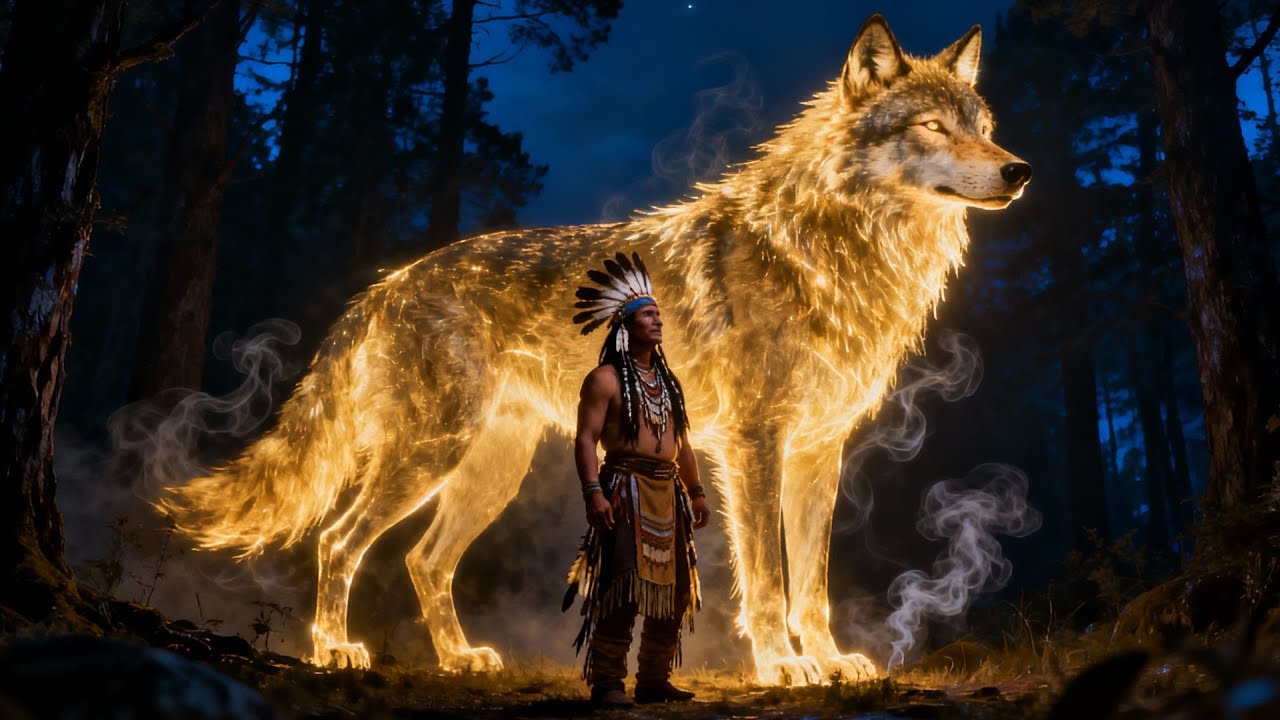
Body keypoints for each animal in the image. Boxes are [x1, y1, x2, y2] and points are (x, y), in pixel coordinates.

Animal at [162, 15, 1030, 685]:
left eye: (982, 127)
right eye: (933, 127)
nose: (1019, 170)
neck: (838, 249)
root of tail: (387, 281)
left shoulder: (819, 451)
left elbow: (811, 583)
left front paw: (829, 660)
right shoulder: (753, 445)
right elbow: (770, 581)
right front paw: (783, 667)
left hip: (489, 472)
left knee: (423, 561)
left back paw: (458, 659)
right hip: (429, 455)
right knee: (338, 540)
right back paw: (333, 650)